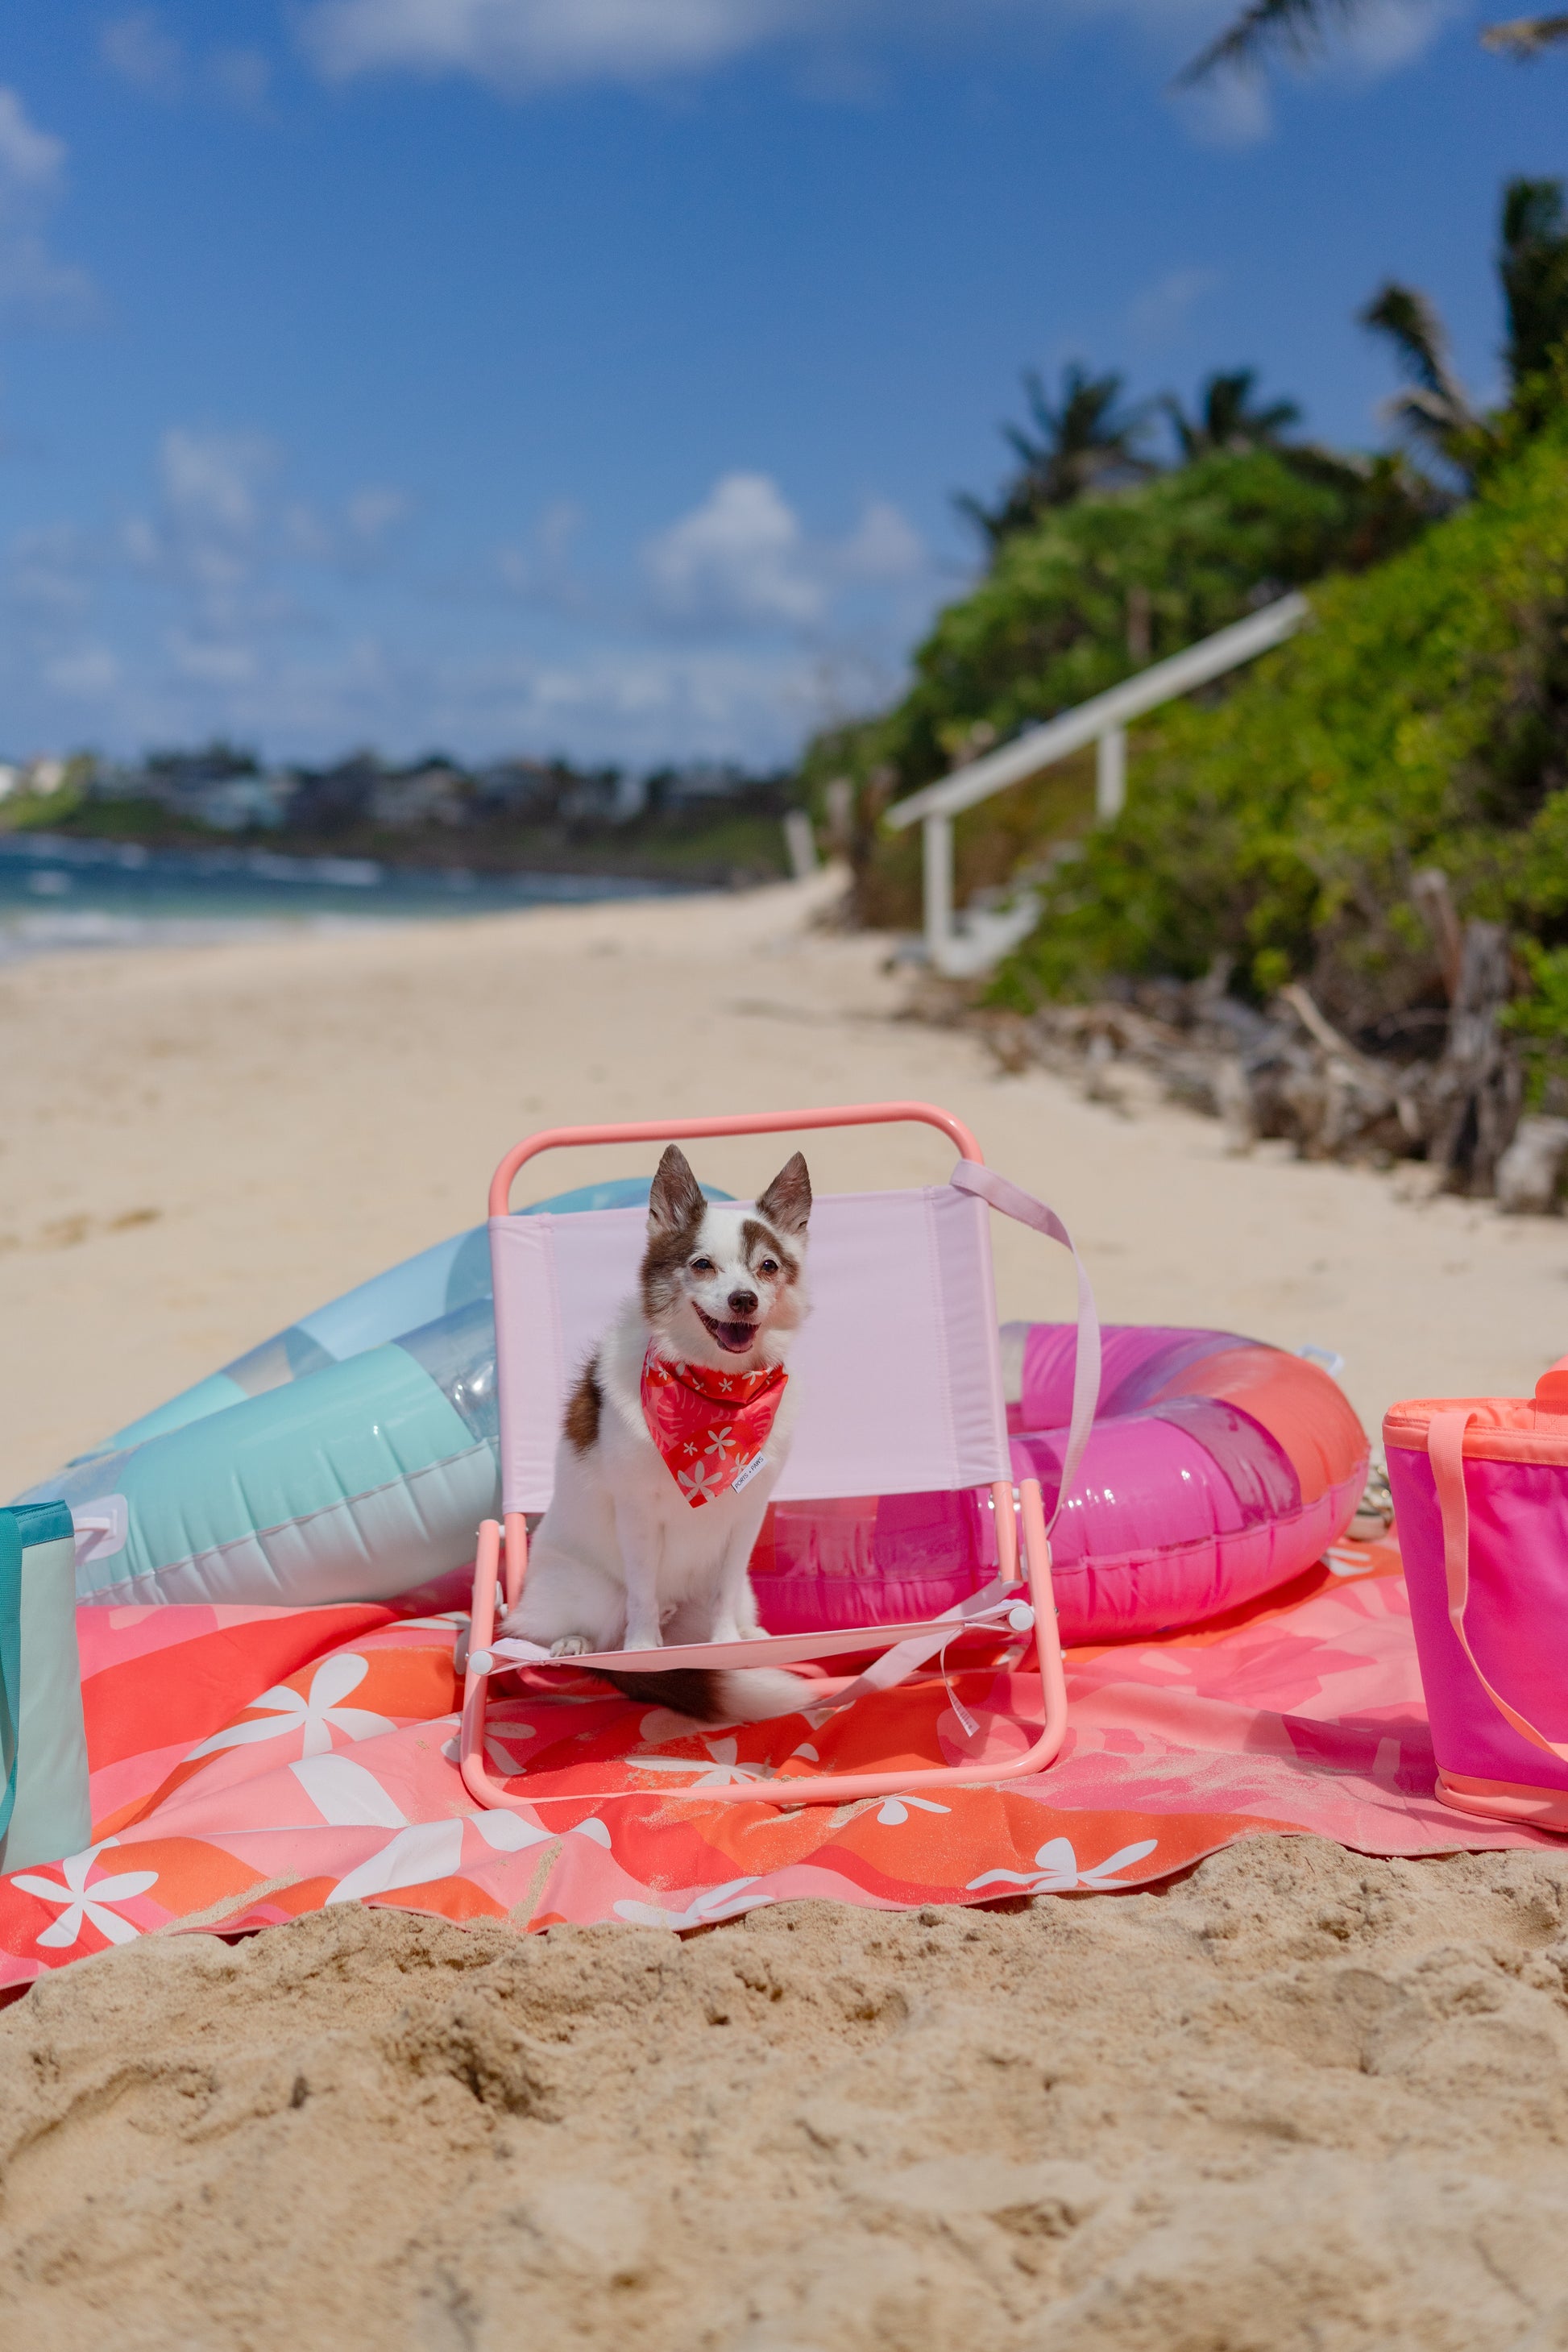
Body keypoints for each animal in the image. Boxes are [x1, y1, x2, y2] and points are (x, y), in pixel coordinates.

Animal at [499, 1142, 818, 1724]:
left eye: (768, 1266)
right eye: (701, 1265)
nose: (743, 1299)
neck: (718, 1396)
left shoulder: (747, 1517)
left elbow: (722, 1592)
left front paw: (728, 1641)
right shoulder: (639, 1517)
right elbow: (642, 1595)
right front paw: (643, 1649)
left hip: (736, 1593)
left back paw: (744, 1632)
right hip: (588, 1589)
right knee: (588, 1630)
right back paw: (577, 1643)